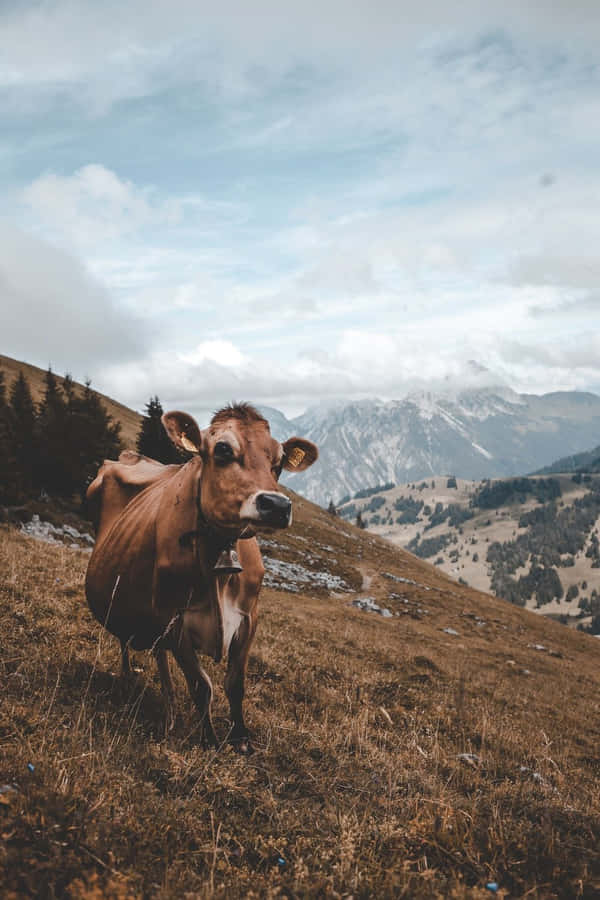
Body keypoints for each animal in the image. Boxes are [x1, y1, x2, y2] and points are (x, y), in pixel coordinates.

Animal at [85, 403, 318, 753]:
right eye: (222, 449)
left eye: (278, 462)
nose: (277, 505)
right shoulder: (174, 618)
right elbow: (201, 686)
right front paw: (208, 739)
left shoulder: (249, 617)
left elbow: (235, 684)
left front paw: (241, 739)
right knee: (126, 642)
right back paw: (131, 683)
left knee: (158, 656)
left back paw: (168, 708)